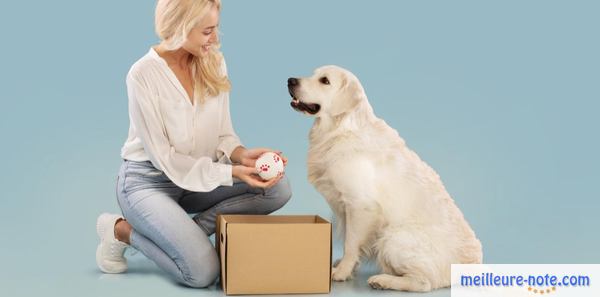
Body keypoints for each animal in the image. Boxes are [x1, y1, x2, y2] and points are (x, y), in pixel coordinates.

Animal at [288, 65, 482, 292]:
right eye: (313, 74)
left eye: (324, 81)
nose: (290, 80)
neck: (341, 129)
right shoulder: (346, 208)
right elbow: (350, 242)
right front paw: (345, 267)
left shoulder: (360, 205)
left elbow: (350, 244)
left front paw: (341, 272)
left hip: (392, 237)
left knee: (423, 282)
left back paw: (382, 280)